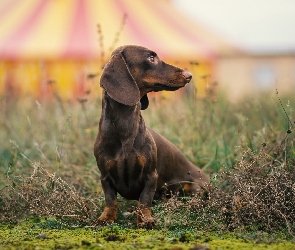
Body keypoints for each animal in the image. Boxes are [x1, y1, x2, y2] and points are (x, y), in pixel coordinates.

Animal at [95, 45, 210, 229]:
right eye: (151, 58)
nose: (189, 75)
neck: (125, 128)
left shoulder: (151, 176)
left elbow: (144, 200)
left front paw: (145, 219)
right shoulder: (105, 176)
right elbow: (111, 200)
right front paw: (106, 217)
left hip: (192, 187)